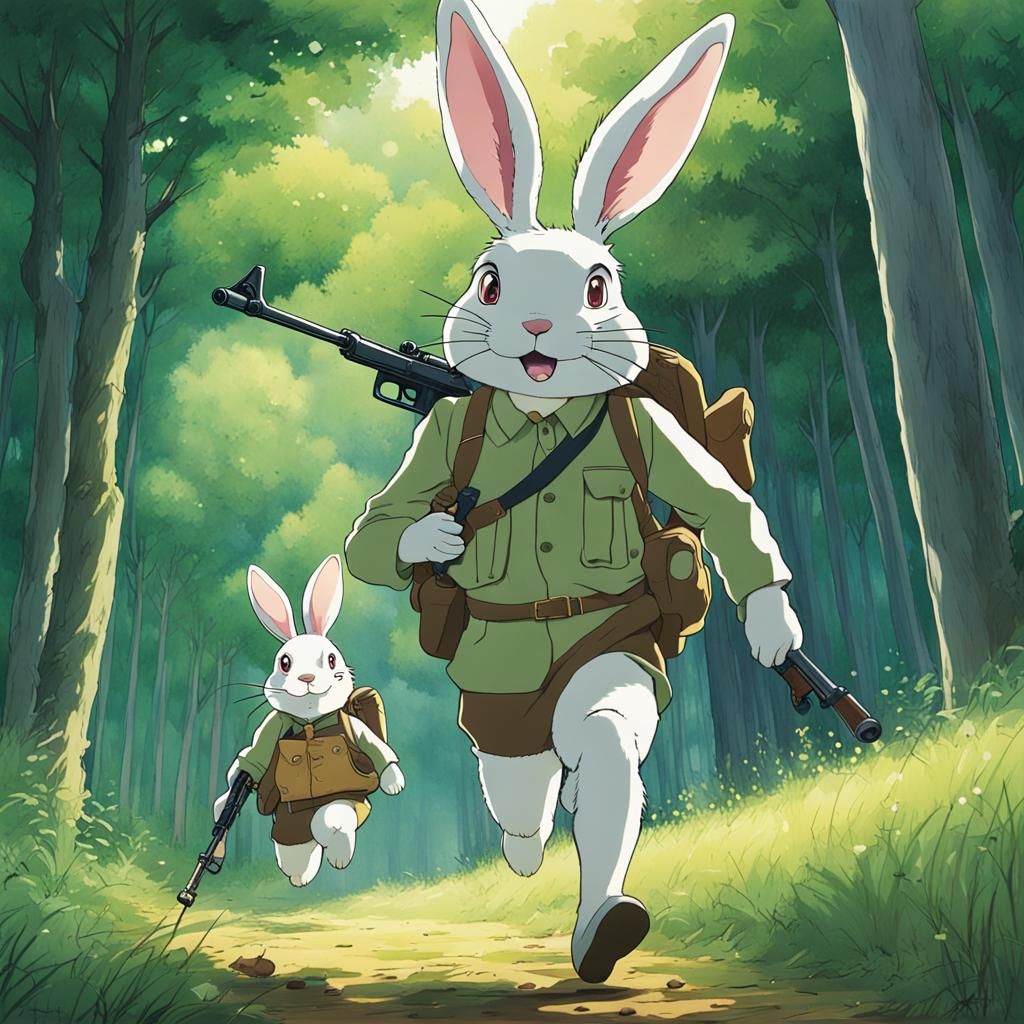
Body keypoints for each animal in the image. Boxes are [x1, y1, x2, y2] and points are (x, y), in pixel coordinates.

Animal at [213, 554, 404, 887]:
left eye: (331, 659)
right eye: (284, 662)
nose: (307, 678)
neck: (310, 722)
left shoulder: (353, 730)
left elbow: (375, 747)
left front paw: (393, 781)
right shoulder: (270, 730)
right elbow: (253, 760)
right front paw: (224, 802)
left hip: (342, 806)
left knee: (331, 821)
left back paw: (337, 853)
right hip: (287, 828)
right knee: (293, 853)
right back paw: (300, 876)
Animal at [347, 0, 802, 982]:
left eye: (598, 285)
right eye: (489, 282)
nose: (537, 323)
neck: (543, 407)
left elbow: (723, 509)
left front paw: (773, 626)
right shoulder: (436, 434)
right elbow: (377, 529)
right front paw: (429, 541)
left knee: (577, 761)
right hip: (498, 729)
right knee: (517, 795)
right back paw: (522, 854)